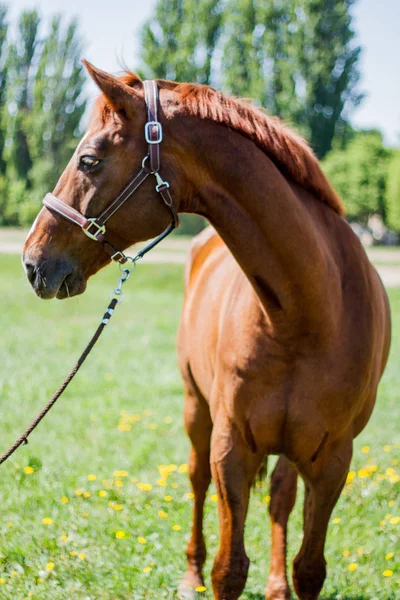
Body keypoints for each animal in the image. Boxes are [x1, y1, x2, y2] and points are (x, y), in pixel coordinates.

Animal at [22, 63, 390, 596]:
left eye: (89, 160)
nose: (32, 261)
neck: (307, 315)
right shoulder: (230, 448)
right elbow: (228, 568)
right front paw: (206, 573)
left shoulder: (333, 461)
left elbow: (309, 568)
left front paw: (287, 580)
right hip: (197, 410)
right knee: (196, 481)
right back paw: (190, 573)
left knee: (280, 497)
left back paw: (276, 584)